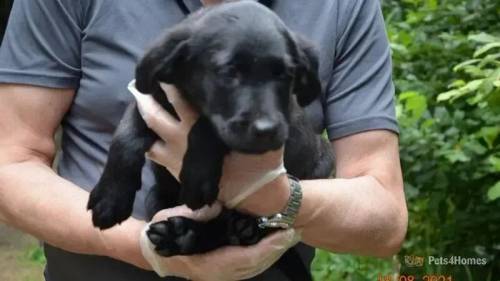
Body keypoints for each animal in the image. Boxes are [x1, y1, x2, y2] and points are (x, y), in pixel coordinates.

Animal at [88, 1, 334, 278]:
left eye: (286, 74)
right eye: (228, 73)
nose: (267, 129)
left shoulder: (284, 114)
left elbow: (206, 125)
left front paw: (198, 177)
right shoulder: (152, 98)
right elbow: (125, 134)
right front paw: (110, 197)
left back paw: (216, 231)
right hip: (155, 197)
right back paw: (186, 235)